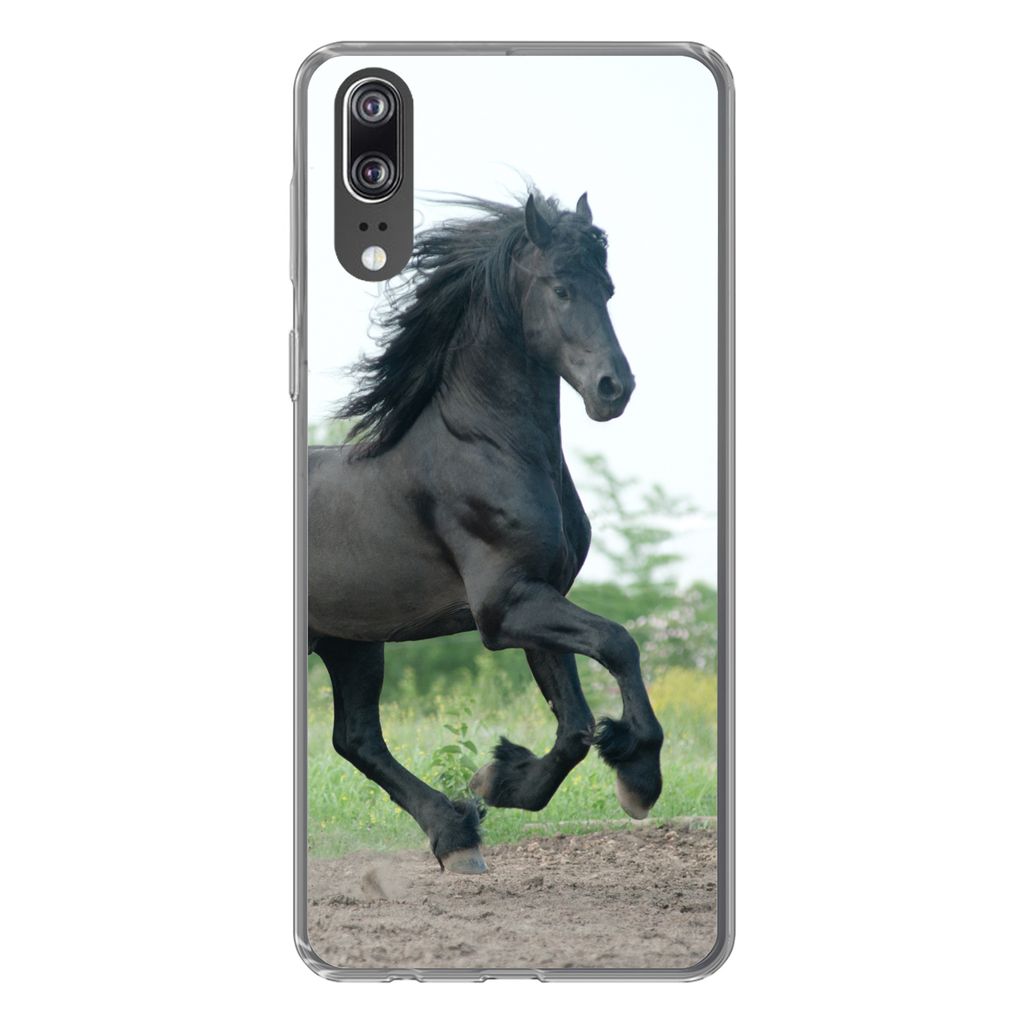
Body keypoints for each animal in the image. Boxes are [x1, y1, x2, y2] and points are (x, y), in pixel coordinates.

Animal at [308, 191, 664, 873]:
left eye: (606, 288)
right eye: (559, 288)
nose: (615, 389)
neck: (485, 447)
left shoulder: (537, 596)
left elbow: (575, 726)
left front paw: (497, 782)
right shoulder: (504, 608)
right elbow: (618, 643)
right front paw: (639, 777)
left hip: (353, 643)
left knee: (357, 738)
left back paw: (456, 834)